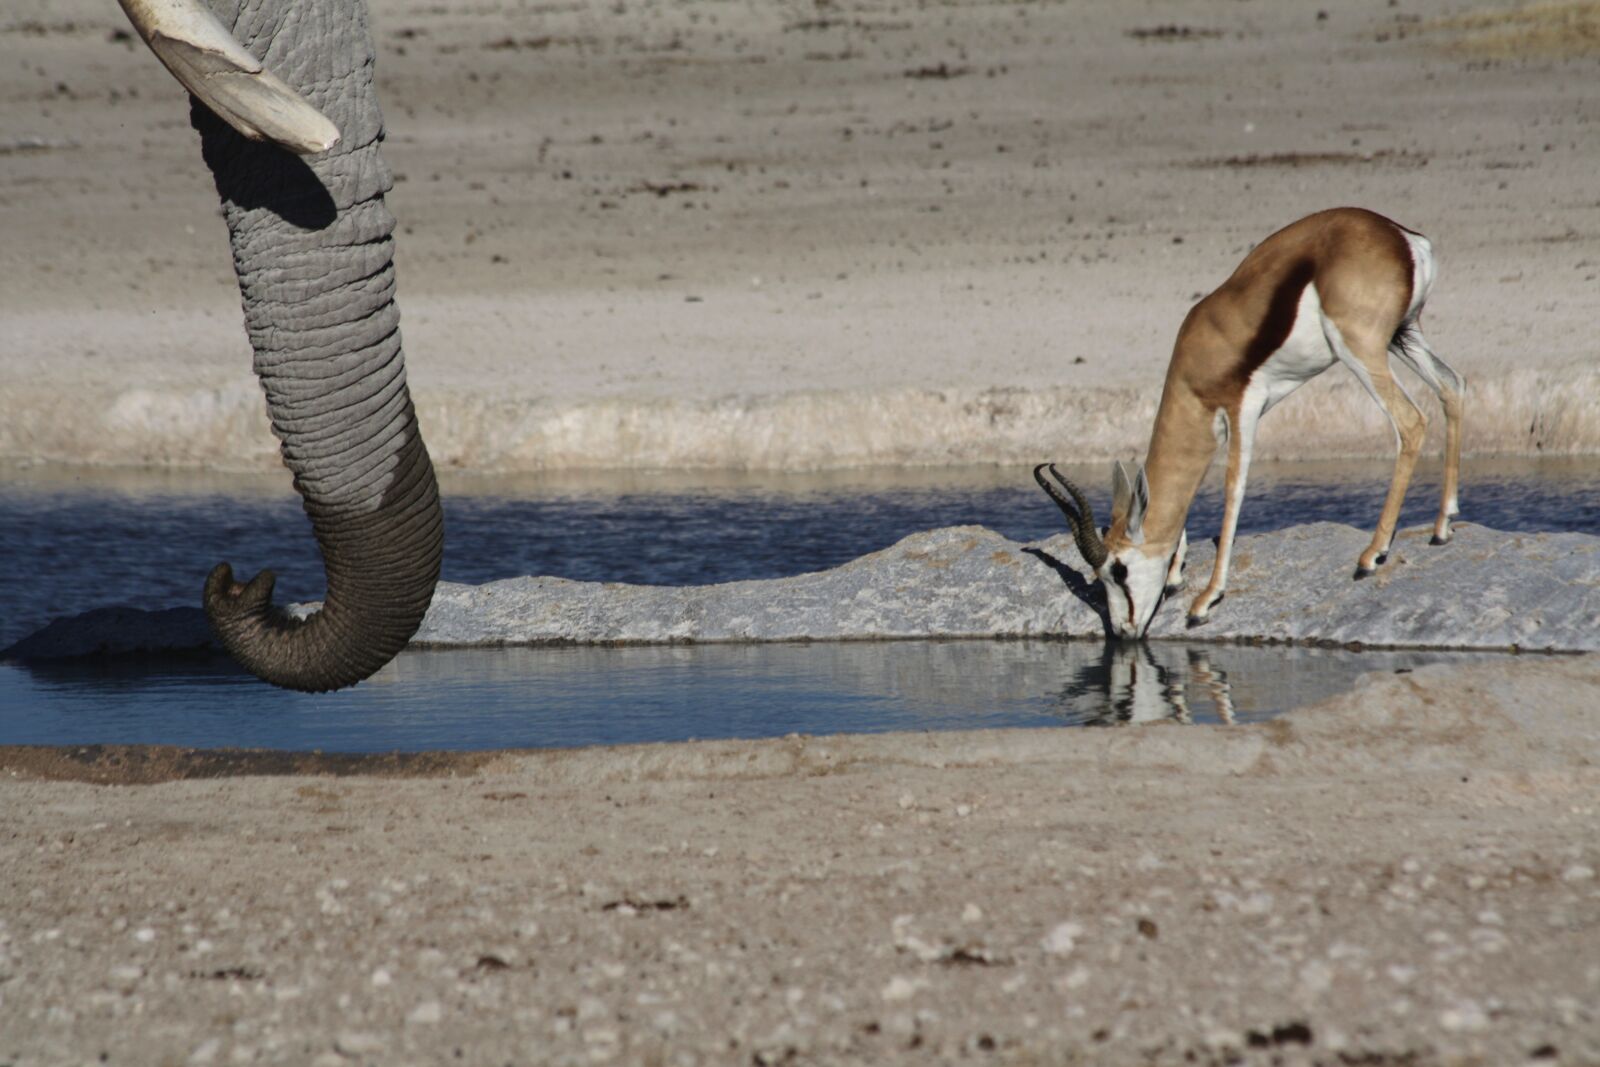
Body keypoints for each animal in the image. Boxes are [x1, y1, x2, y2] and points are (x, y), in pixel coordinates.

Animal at [1036, 207, 1465, 639]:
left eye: (1119, 570)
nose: (1124, 631)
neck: (1198, 361)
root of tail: (1401, 236)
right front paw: (1175, 577)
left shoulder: (1243, 407)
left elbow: (1233, 490)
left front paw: (1205, 601)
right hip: (1403, 336)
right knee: (1452, 385)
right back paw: (1442, 528)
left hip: (1361, 349)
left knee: (1411, 421)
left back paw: (1371, 556)